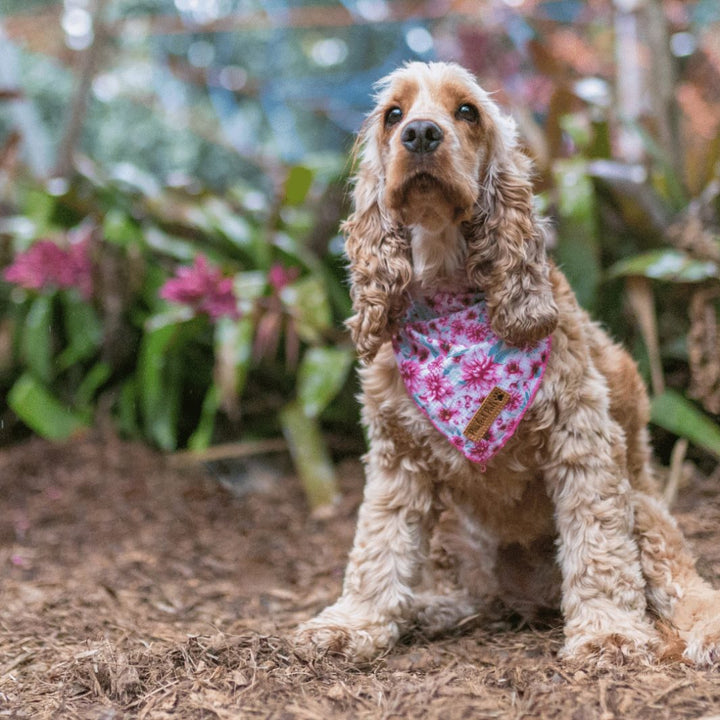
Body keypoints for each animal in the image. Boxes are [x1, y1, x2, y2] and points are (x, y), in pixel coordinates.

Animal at [294, 63, 720, 668]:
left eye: (467, 111)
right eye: (393, 114)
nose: (420, 134)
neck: (448, 291)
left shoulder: (583, 439)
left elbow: (599, 545)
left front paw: (609, 633)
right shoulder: (396, 457)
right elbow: (379, 543)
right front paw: (353, 623)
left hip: (645, 509)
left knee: (684, 587)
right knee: (480, 597)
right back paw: (425, 611)